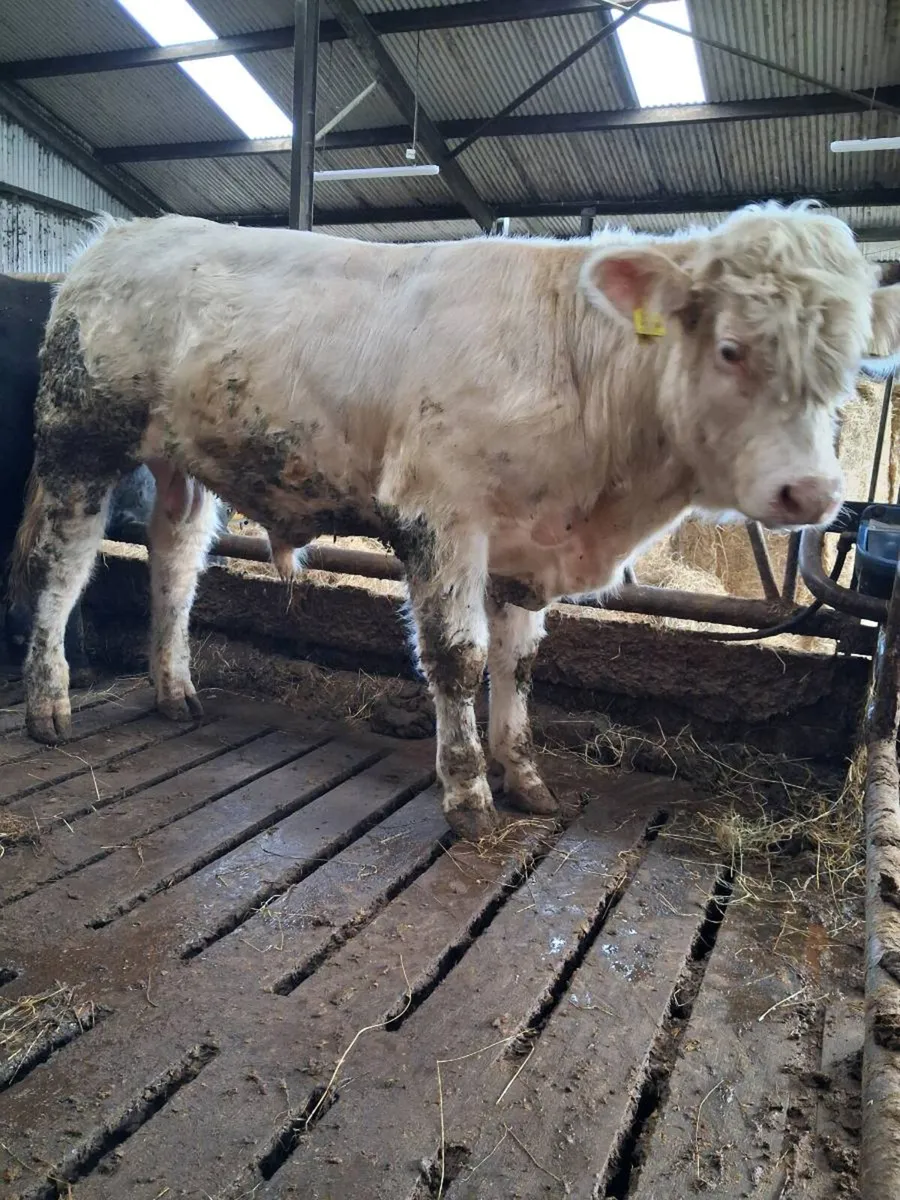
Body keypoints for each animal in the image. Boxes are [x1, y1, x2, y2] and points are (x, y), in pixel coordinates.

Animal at [11, 202, 900, 839]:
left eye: (851, 363)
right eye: (731, 348)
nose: (813, 493)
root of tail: (115, 236)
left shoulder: (524, 542)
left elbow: (521, 664)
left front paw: (526, 776)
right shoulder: (440, 517)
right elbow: (461, 659)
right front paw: (469, 791)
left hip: (181, 462)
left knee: (174, 560)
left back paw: (176, 689)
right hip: (81, 437)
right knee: (62, 562)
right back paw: (49, 703)